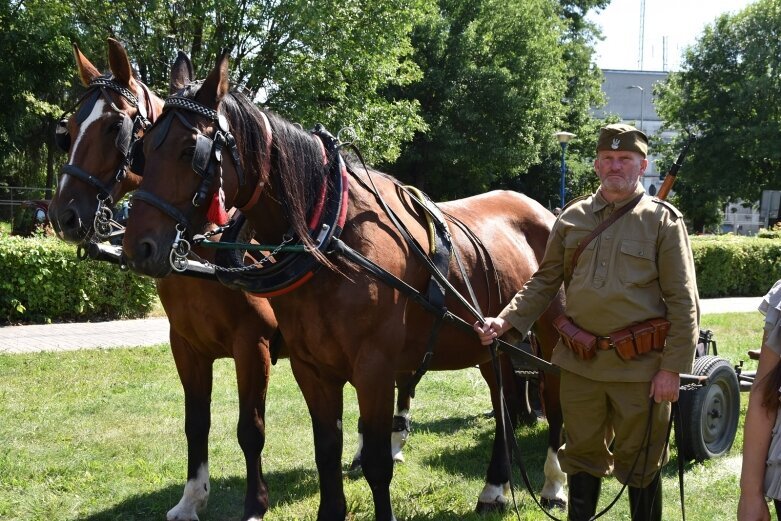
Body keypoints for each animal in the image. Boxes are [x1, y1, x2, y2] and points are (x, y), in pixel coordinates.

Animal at [119, 50, 564, 516]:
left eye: (192, 151)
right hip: (491, 344)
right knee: (505, 403)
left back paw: (553, 482)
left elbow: (376, 462)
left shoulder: (371, 367)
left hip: (552, 337)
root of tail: (546, 212)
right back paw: (495, 486)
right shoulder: (310, 367)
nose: (138, 247)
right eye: (143, 149)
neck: (331, 237)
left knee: (553, 400)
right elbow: (326, 450)